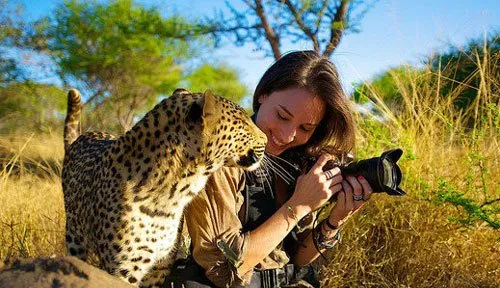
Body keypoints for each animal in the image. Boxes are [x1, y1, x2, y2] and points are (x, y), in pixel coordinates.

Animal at [61, 88, 270, 286]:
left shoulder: (159, 267)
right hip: (75, 239)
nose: (266, 139)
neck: (175, 190)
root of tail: (80, 138)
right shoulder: (122, 269)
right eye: (243, 123)